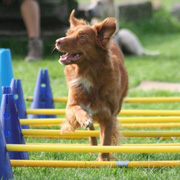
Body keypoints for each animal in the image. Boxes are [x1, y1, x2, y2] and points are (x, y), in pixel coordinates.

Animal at [55, 10, 127, 161]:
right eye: (68, 33)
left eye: (82, 37)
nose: (58, 41)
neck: (88, 73)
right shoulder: (70, 106)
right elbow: (77, 110)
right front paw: (85, 119)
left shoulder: (108, 116)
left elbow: (105, 141)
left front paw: (103, 160)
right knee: (91, 131)